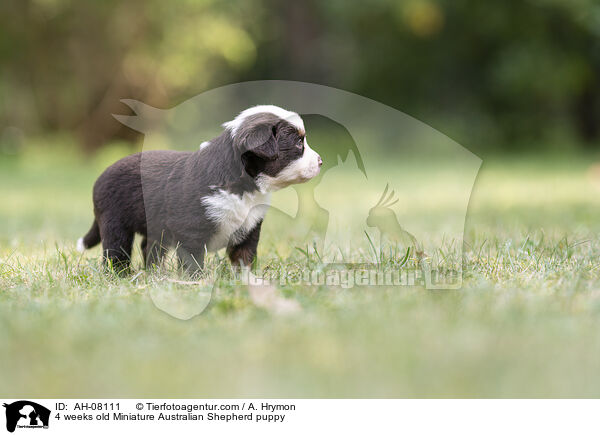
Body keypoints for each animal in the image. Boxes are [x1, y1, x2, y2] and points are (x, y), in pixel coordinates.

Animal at [79, 106, 326, 274]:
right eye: (298, 143)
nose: (321, 161)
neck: (243, 186)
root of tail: (100, 177)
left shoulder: (249, 227)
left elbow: (244, 257)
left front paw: (247, 281)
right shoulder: (191, 230)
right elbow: (192, 262)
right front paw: (194, 283)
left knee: (149, 246)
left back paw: (155, 273)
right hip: (114, 220)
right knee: (115, 251)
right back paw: (120, 275)